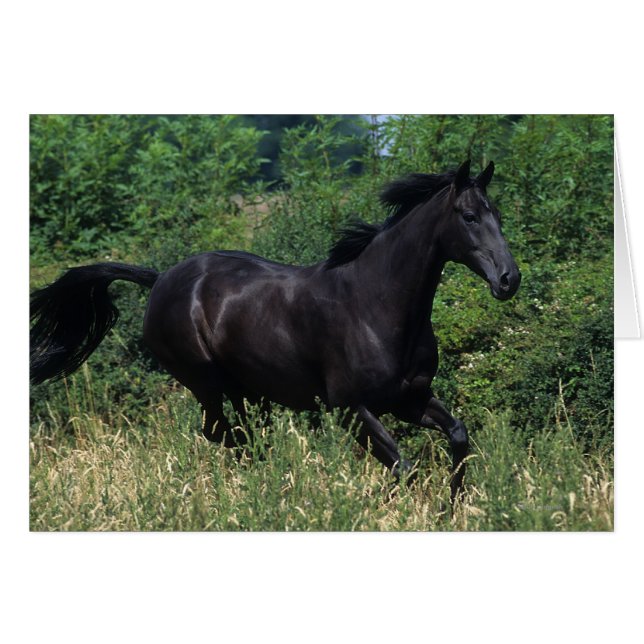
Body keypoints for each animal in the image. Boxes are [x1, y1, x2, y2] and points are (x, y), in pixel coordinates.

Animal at [30, 159, 520, 500]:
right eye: (469, 216)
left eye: (497, 213)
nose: (508, 279)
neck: (376, 304)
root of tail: (162, 278)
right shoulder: (352, 409)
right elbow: (404, 467)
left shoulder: (409, 399)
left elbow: (458, 437)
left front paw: (450, 509)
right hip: (205, 382)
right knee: (224, 435)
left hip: (248, 390)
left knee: (247, 435)